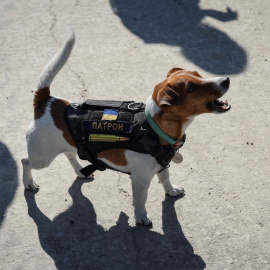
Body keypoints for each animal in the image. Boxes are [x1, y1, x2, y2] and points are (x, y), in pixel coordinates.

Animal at [22, 31, 231, 226]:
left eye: (199, 74)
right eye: (191, 88)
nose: (226, 80)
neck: (152, 128)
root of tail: (47, 101)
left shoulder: (162, 167)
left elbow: (165, 180)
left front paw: (171, 191)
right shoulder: (140, 179)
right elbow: (141, 199)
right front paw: (141, 217)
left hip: (65, 145)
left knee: (70, 155)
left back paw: (81, 171)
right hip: (42, 158)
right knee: (26, 161)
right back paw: (29, 183)